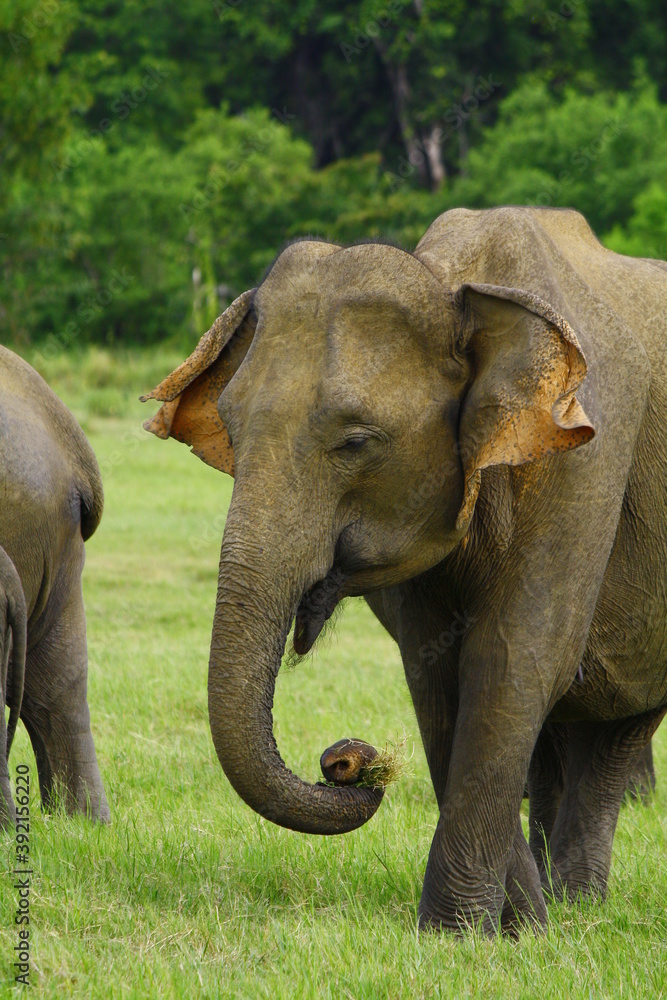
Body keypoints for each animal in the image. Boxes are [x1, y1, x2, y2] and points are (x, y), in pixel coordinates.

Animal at [142, 206, 666, 934]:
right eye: (231, 429)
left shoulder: (586, 458)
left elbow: (516, 658)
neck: (455, 287)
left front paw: (463, 935)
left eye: (357, 441)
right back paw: (560, 906)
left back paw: (573, 905)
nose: (349, 763)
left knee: (617, 729)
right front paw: (507, 927)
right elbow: (435, 670)